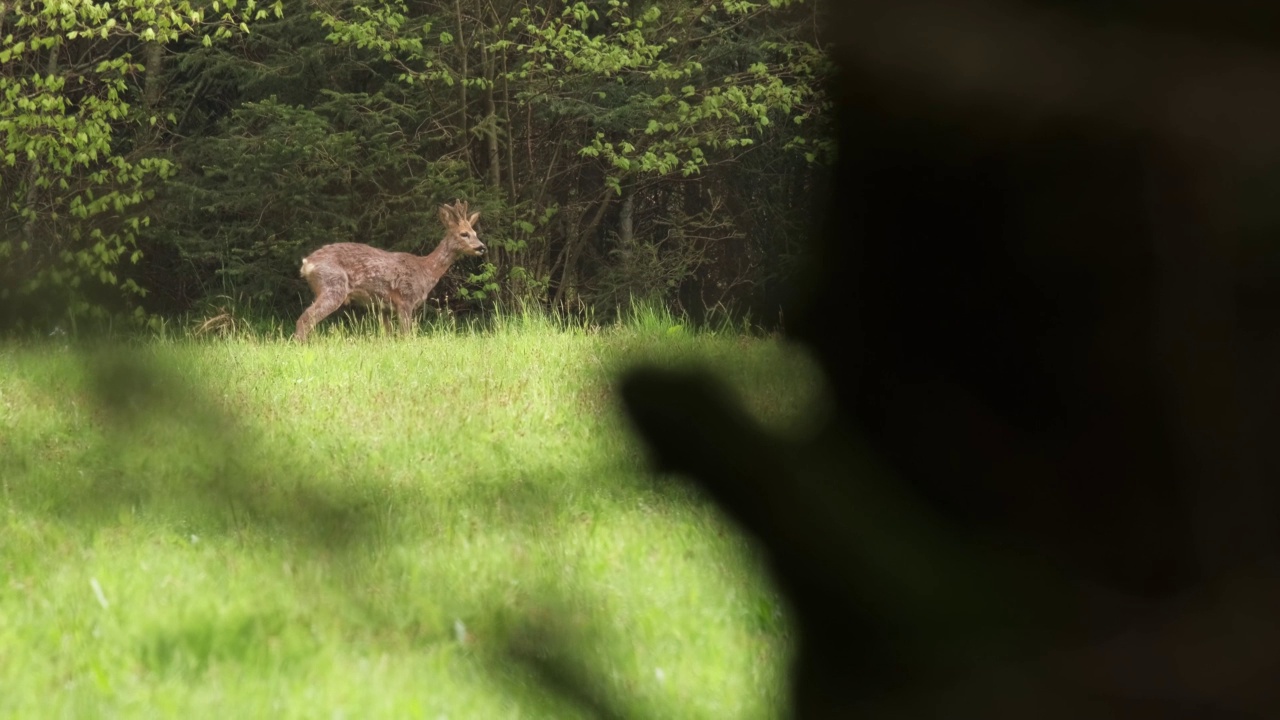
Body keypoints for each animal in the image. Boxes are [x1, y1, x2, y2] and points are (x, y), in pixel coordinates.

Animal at [293, 198, 483, 338]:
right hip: (333, 286)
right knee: (305, 319)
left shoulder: (383, 307)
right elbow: (406, 335)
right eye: (464, 234)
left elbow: (388, 335)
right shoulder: (406, 299)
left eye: (476, 233)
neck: (426, 270)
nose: (482, 247)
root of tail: (307, 263)